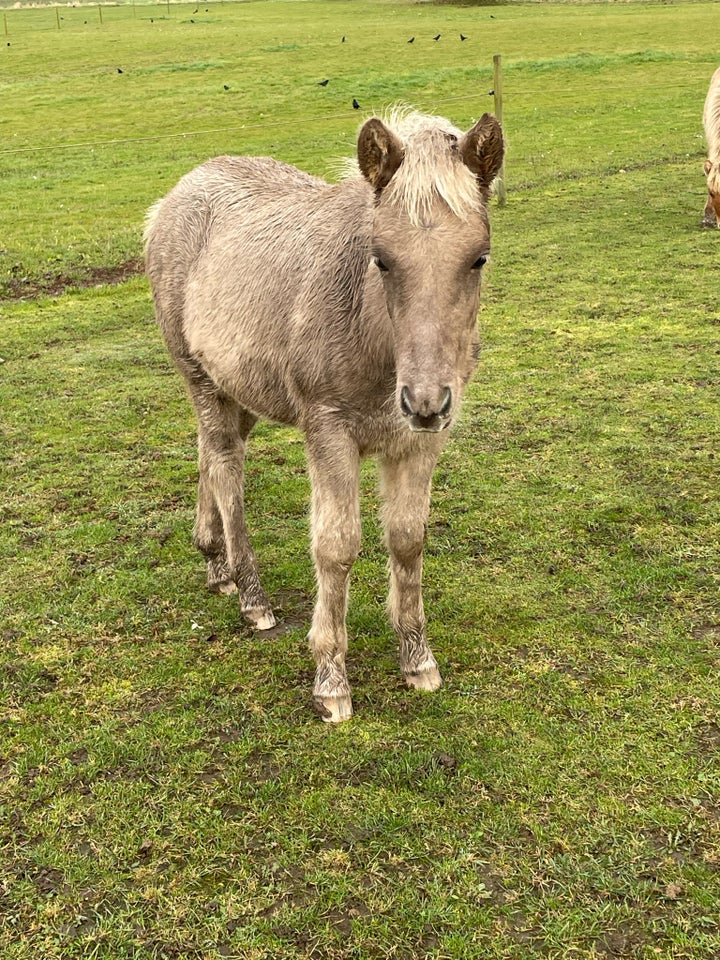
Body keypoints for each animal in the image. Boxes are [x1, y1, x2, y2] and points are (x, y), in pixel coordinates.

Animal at [145, 110, 506, 720]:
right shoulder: (329, 430)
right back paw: (252, 596)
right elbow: (336, 546)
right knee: (225, 468)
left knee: (209, 455)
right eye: (381, 258)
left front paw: (418, 660)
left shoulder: (420, 441)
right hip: (199, 378)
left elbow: (407, 538)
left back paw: (216, 565)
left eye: (478, 258)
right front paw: (331, 680)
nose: (424, 400)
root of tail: (170, 199)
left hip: (238, 389)